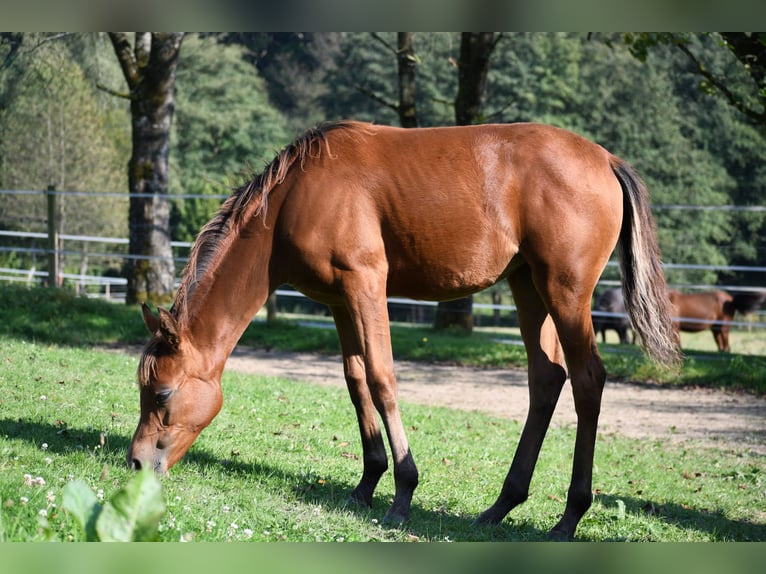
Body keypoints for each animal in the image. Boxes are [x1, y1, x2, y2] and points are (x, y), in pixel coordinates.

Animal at [130, 122, 680, 544]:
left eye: (162, 394)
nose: (135, 463)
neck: (294, 199)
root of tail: (605, 158)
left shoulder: (366, 285)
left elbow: (382, 379)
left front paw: (402, 493)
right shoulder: (339, 301)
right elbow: (356, 382)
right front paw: (366, 483)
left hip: (564, 293)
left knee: (587, 380)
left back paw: (569, 517)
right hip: (529, 287)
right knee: (546, 379)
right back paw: (501, 506)